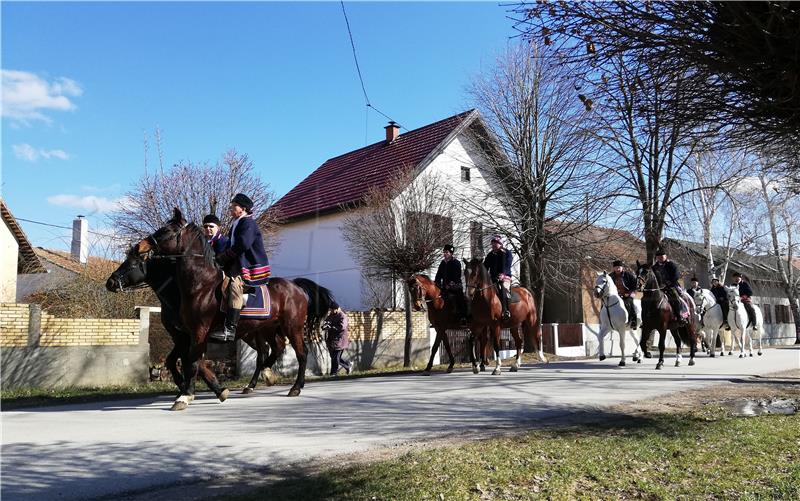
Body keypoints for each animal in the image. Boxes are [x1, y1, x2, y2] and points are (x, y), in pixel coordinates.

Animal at [108, 209, 332, 408]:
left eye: (166, 230)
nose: (140, 246)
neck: (199, 285)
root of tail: (296, 286)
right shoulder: (187, 335)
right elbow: (183, 361)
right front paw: (192, 390)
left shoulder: (197, 332)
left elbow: (192, 362)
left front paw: (188, 395)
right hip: (267, 328)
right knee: (273, 350)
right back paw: (264, 378)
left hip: (291, 327)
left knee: (301, 354)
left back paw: (295, 387)